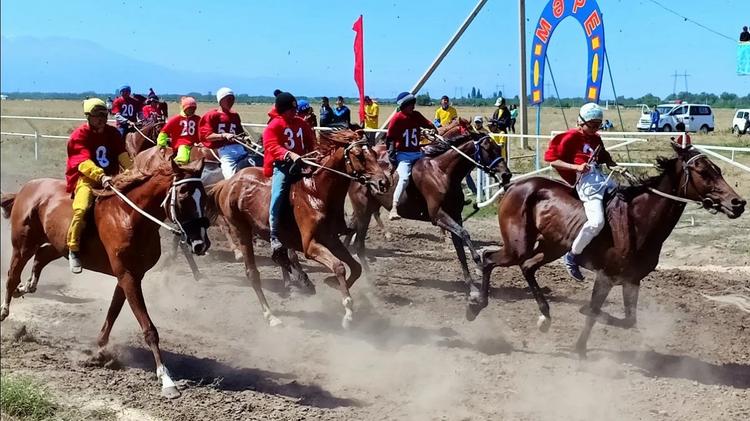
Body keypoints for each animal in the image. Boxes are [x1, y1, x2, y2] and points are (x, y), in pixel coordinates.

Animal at [1, 148, 212, 398]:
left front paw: (98, 351)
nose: (201, 243)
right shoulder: (128, 276)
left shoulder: (130, 276)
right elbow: (148, 328)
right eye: (183, 197)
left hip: (58, 243)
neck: (129, 216)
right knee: (12, 275)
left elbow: (113, 311)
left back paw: (27, 286)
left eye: (204, 198)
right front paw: (166, 379)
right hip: (22, 245)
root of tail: (28, 187)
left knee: (42, 256)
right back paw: (5, 309)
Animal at [209, 130, 390, 326]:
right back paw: (271, 315)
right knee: (253, 273)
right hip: (242, 231)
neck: (316, 192)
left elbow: (355, 267)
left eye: (374, 153)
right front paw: (348, 311)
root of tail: (228, 183)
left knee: (280, 259)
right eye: (358, 155)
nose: (384, 183)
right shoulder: (310, 246)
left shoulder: (332, 240)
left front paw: (332, 283)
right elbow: (338, 266)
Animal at [350, 122, 516, 296]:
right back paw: (369, 280)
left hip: (366, 210)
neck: (443, 172)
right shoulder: (438, 216)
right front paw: (478, 263)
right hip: (363, 211)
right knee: (359, 245)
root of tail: (358, 173)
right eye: (488, 149)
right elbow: (464, 234)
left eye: (498, 147)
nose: (506, 175)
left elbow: (460, 250)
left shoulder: (455, 216)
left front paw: (472, 287)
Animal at [476, 143, 748, 356]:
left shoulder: (632, 280)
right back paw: (475, 305)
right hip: (517, 246)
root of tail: (514, 186)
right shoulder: (606, 276)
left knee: (527, 267)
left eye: (718, 169)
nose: (738, 203)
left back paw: (544, 316)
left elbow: (628, 320)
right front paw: (581, 343)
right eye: (703, 171)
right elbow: (594, 311)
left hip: (551, 247)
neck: (638, 220)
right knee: (489, 258)